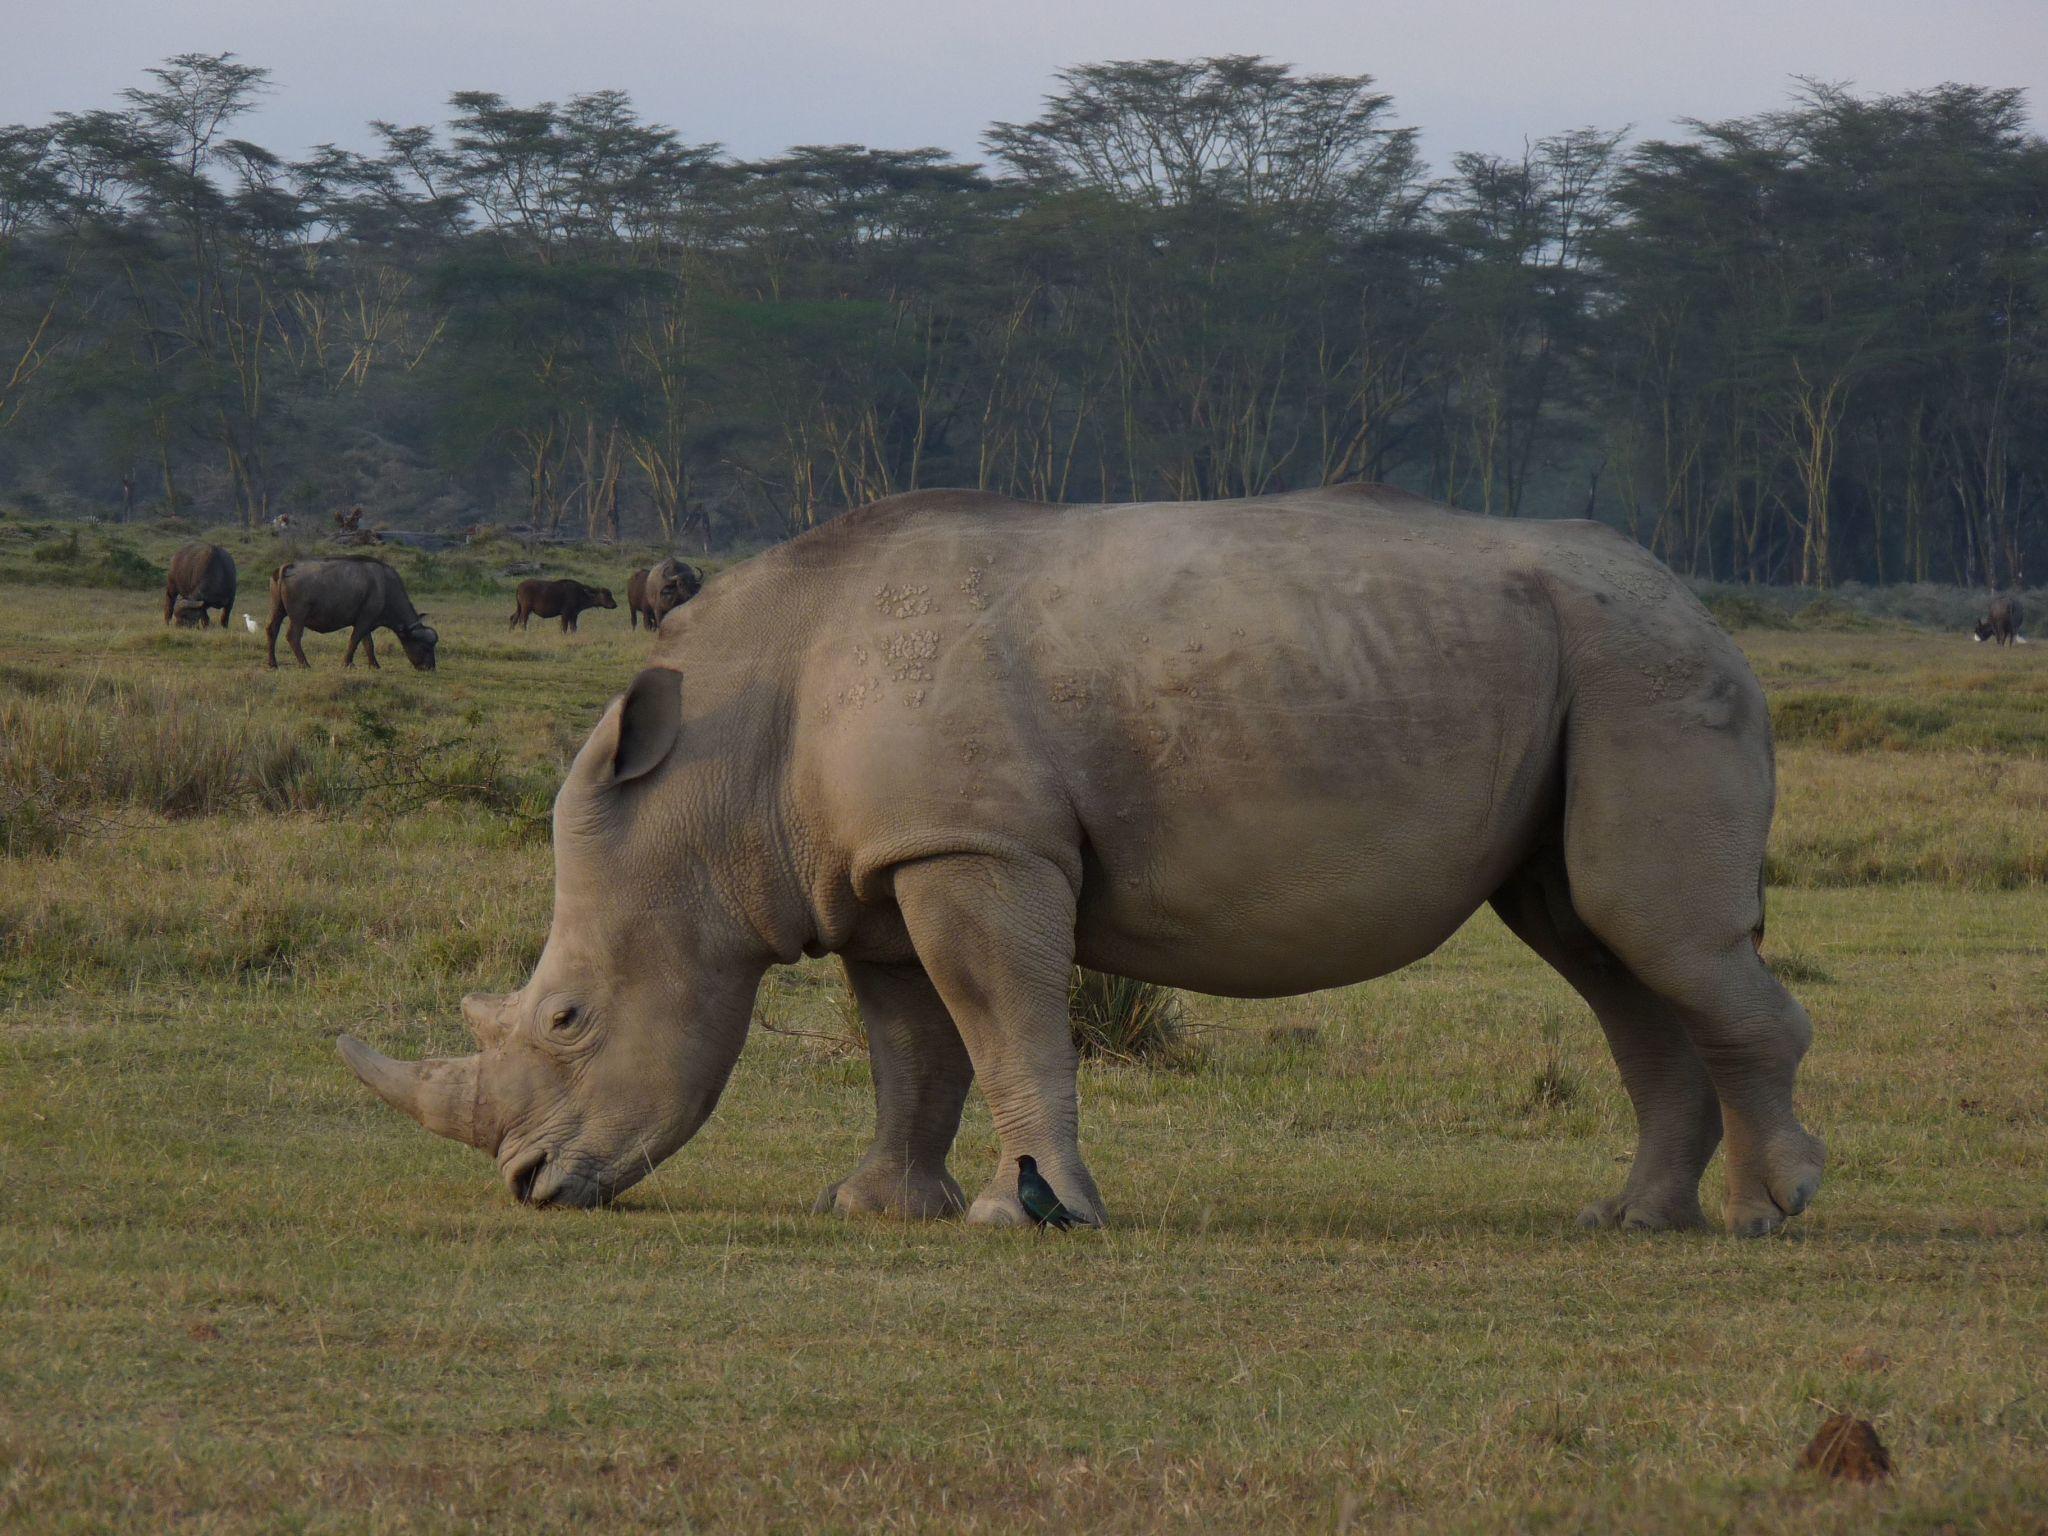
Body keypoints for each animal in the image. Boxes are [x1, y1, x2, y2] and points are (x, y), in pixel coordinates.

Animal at [266, 556, 438, 670]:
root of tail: (289, 566)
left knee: (271, 631)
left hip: (277, 610)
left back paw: (273, 663)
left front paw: (374, 665)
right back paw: (305, 664)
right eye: (425, 647)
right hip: (298, 616)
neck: (385, 587)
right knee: (293, 636)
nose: (430, 667)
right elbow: (354, 640)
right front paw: (347, 663)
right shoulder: (364, 620)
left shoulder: (367, 623)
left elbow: (368, 644)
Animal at [340, 485, 1826, 1237]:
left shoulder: (976, 845)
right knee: (1597, 945)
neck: (716, 781)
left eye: (567, 1019)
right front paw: (881, 1206)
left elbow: (1003, 1023)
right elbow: (912, 1050)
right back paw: (1629, 1223)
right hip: (1593, 666)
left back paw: (1770, 1212)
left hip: (1641, 669)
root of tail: (1698, 601)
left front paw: (1031, 1211)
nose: (528, 1188)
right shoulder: (887, 862)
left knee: (1650, 932)